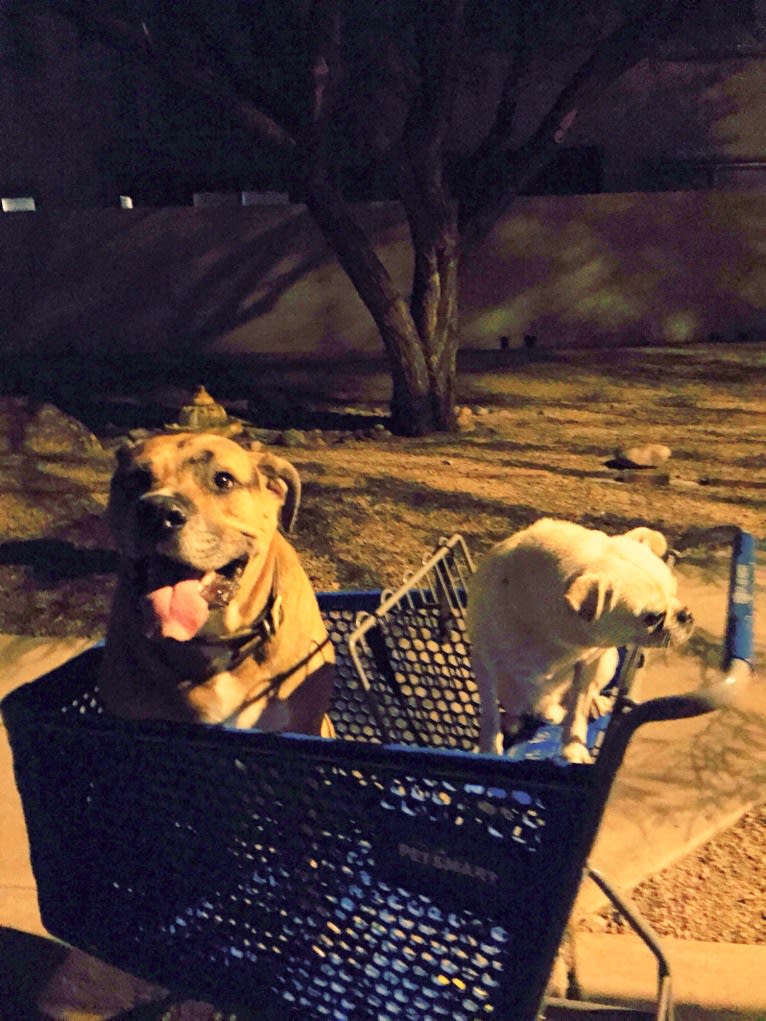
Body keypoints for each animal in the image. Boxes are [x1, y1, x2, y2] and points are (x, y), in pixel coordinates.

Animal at [467, 522, 694, 763]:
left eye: (675, 593)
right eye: (652, 618)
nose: (686, 615)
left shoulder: (587, 664)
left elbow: (578, 709)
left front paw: (573, 749)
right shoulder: (484, 663)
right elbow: (489, 714)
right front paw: (490, 748)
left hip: (608, 660)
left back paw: (592, 703)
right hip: (510, 691)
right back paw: (513, 720)